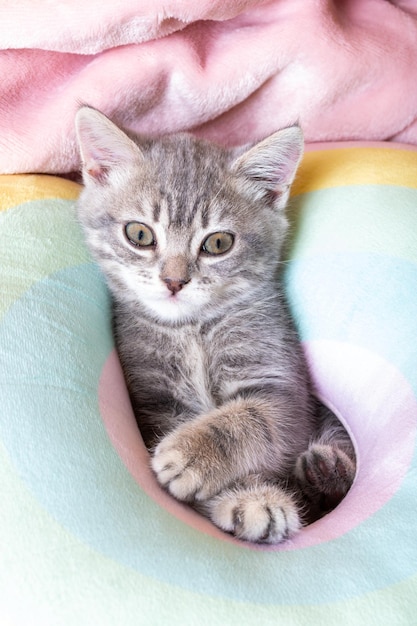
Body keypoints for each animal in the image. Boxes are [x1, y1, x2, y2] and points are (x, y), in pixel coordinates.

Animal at [75, 107, 354, 540]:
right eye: (139, 234)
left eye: (218, 243)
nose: (174, 281)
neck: (192, 329)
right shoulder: (153, 402)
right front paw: (250, 498)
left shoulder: (283, 385)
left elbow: (254, 419)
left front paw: (192, 455)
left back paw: (329, 470)